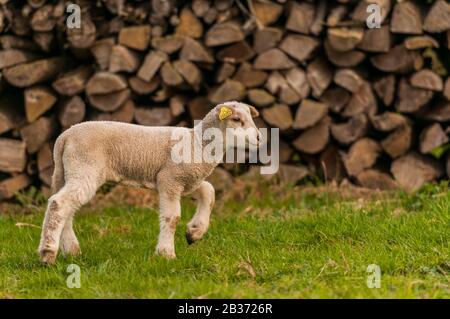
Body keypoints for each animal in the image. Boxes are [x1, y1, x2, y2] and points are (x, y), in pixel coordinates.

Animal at [40, 102, 262, 264]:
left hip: (66, 172)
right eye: (236, 119)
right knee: (59, 204)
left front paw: (194, 232)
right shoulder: (170, 178)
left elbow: (209, 192)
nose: (260, 138)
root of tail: (64, 137)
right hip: (84, 167)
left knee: (66, 208)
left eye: (251, 118)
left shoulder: (187, 180)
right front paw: (166, 253)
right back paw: (48, 253)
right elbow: (172, 217)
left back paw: (71, 250)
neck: (199, 143)